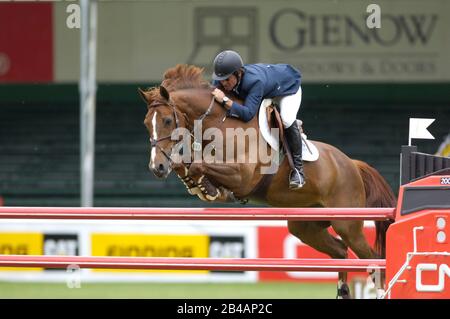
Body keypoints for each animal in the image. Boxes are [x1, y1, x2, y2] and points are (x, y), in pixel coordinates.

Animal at [139, 63, 396, 298]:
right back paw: (343, 290)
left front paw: (209, 188)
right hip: (306, 225)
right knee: (341, 251)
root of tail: (351, 164)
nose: (156, 168)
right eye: (146, 124)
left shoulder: (242, 176)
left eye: (167, 121)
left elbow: (199, 165)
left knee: (372, 258)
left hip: (348, 223)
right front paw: (200, 185)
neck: (220, 122)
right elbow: (187, 164)